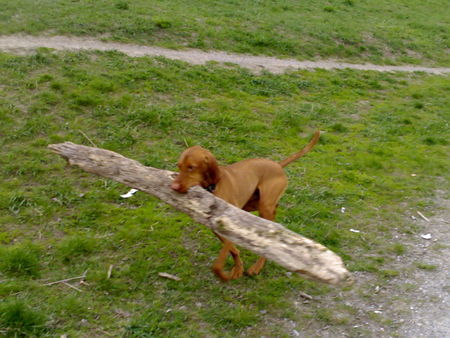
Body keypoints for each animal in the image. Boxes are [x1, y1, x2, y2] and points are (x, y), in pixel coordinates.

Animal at [170, 131, 320, 282]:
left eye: (191, 167)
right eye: (179, 166)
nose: (174, 186)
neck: (213, 187)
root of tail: (277, 165)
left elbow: (218, 265)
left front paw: (228, 273)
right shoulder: (216, 227)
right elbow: (232, 250)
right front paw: (237, 269)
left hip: (263, 206)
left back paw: (257, 266)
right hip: (251, 205)